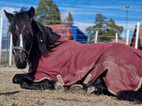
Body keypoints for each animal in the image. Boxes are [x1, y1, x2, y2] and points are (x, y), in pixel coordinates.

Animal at [4, 6, 142, 102]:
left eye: (29, 33)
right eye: (13, 32)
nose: (20, 61)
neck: (49, 48)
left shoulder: (46, 74)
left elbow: (22, 81)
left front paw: (56, 85)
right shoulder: (35, 74)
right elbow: (16, 77)